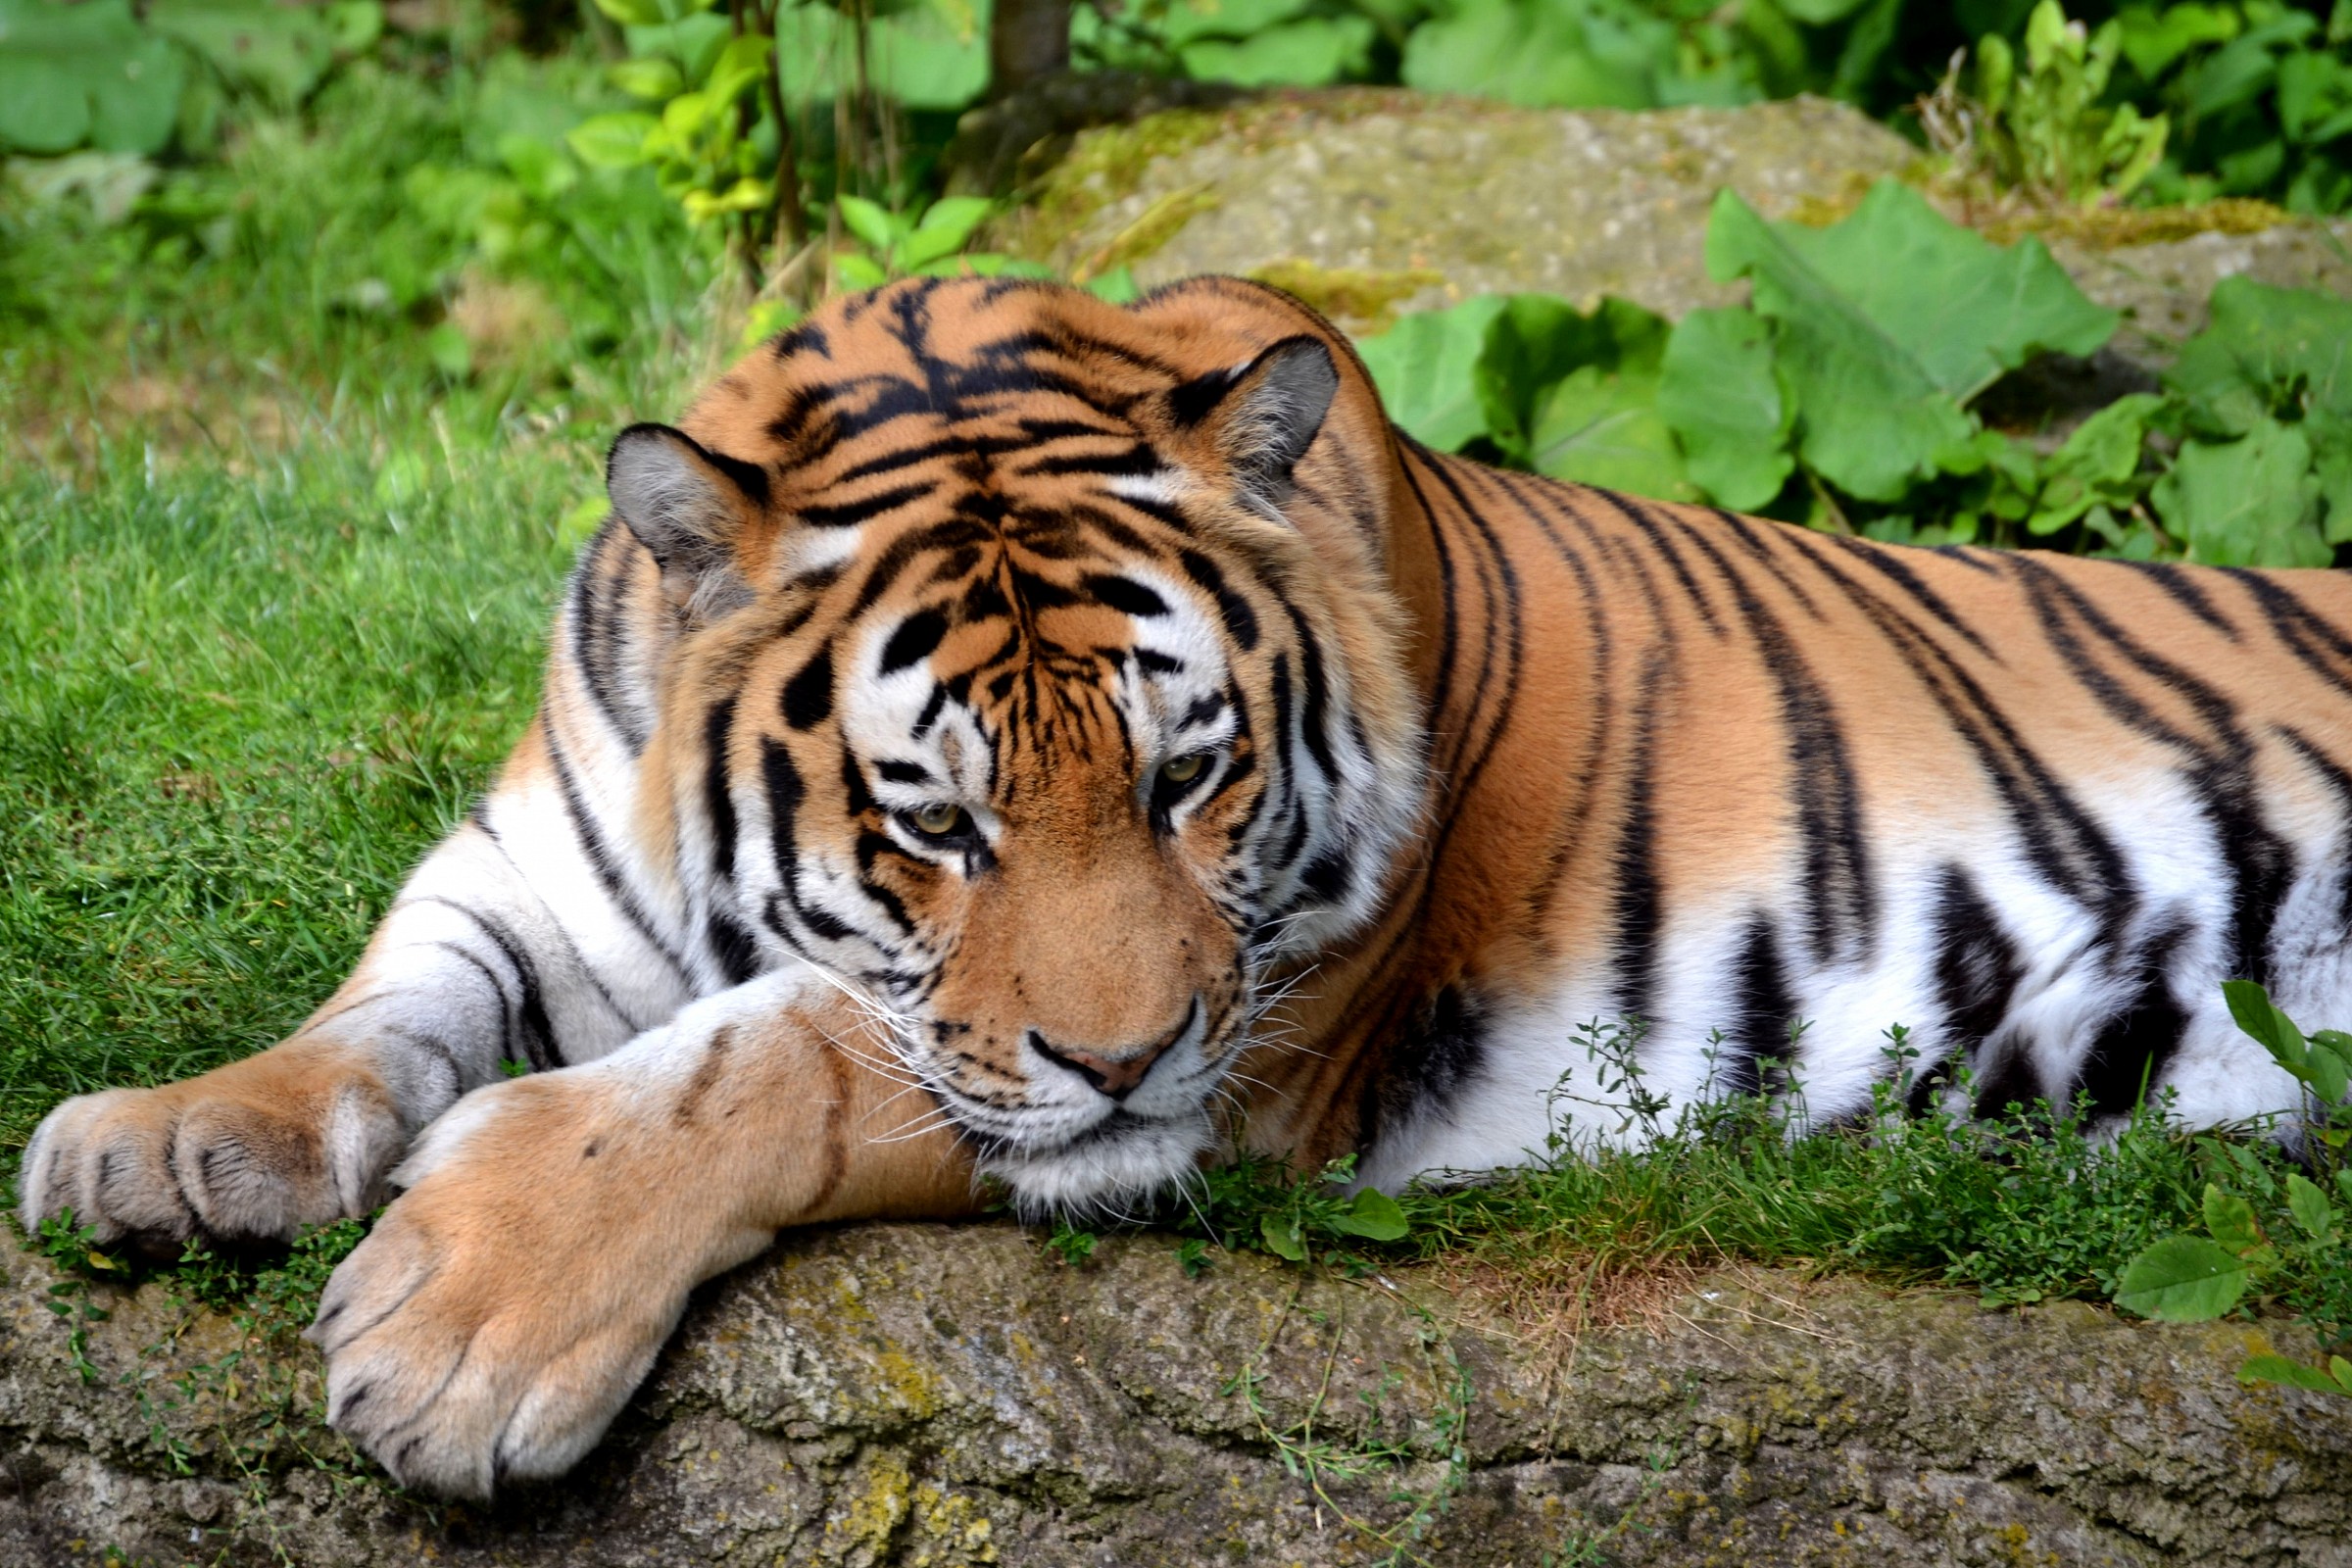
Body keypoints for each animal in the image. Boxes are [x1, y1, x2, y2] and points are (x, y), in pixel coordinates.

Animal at [21, 273, 2352, 1499]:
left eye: (1192, 776)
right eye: (935, 821)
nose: (1126, 1054)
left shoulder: (1250, 1056)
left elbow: (776, 1059)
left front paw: (459, 1328)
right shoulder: (534, 871)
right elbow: (384, 1001)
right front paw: (169, 1142)